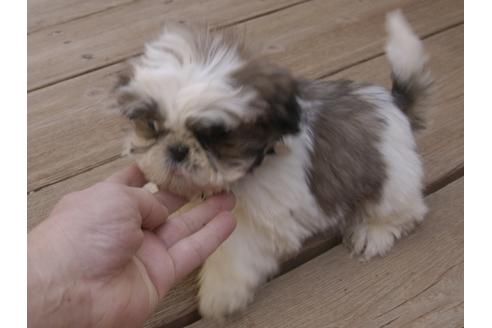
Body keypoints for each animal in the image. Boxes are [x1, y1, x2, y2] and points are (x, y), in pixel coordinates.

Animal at [114, 10, 430, 320]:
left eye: (213, 137)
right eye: (152, 126)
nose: (177, 150)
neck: (252, 166)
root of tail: (393, 103)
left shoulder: (263, 219)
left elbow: (234, 248)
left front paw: (221, 292)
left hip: (391, 179)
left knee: (404, 210)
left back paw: (373, 233)